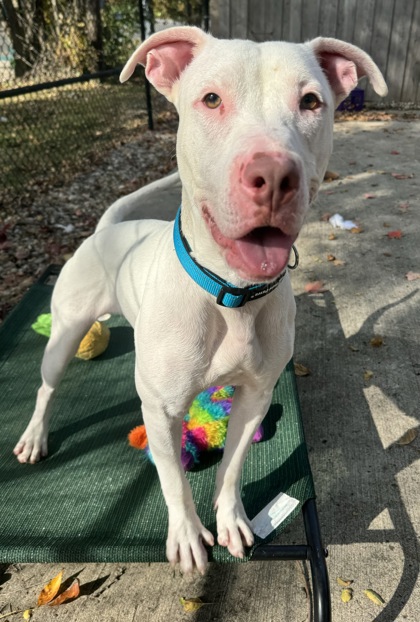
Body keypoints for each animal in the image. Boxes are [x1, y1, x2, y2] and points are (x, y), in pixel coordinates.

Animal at [13, 28, 388, 576]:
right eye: (211, 99)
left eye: (311, 102)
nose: (274, 175)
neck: (230, 295)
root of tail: (106, 230)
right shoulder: (164, 411)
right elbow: (173, 480)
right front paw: (189, 535)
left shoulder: (255, 396)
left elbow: (231, 468)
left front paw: (231, 520)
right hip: (63, 334)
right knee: (45, 388)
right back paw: (35, 436)